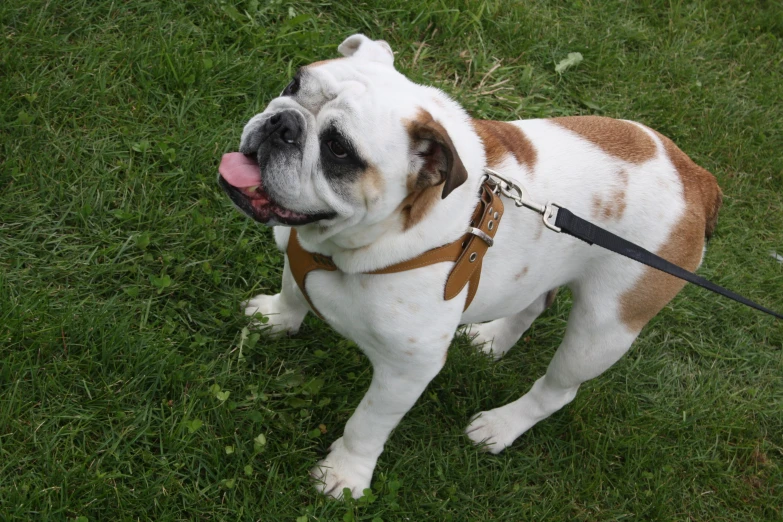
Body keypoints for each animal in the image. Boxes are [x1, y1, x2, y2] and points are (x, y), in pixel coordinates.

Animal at [217, 34, 720, 498]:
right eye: (294, 83)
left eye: (339, 149)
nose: (282, 122)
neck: (353, 243)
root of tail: (697, 179)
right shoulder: (298, 251)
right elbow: (292, 289)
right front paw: (276, 317)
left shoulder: (407, 371)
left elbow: (367, 424)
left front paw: (345, 474)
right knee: (533, 302)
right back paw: (491, 338)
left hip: (603, 329)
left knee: (559, 389)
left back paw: (501, 426)